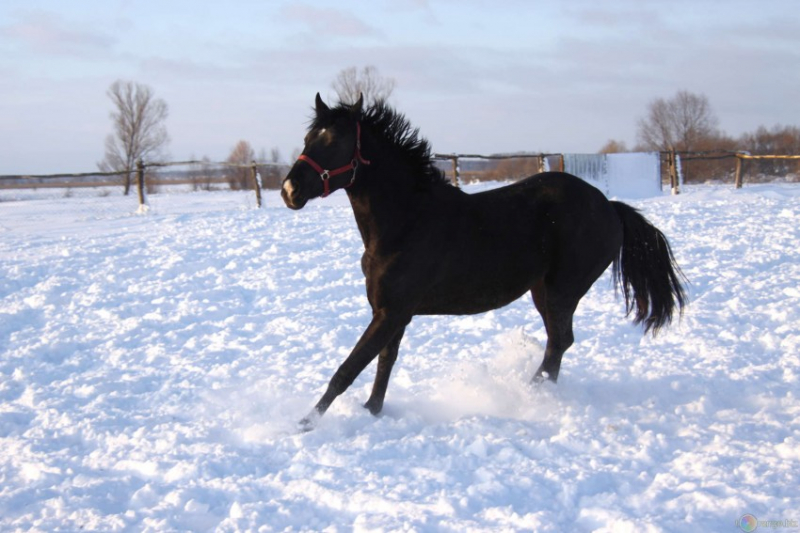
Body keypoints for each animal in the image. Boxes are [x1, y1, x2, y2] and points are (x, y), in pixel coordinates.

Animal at [280, 94, 680, 428]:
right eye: (308, 138)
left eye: (335, 141)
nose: (289, 191)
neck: (407, 221)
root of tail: (609, 206)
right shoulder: (391, 313)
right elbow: (383, 363)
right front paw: (372, 412)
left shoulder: (391, 313)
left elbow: (347, 369)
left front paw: (303, 425)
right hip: (542, 291)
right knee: (558, 343)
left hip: (563, 290)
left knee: (559, 342)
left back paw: (527, 398)